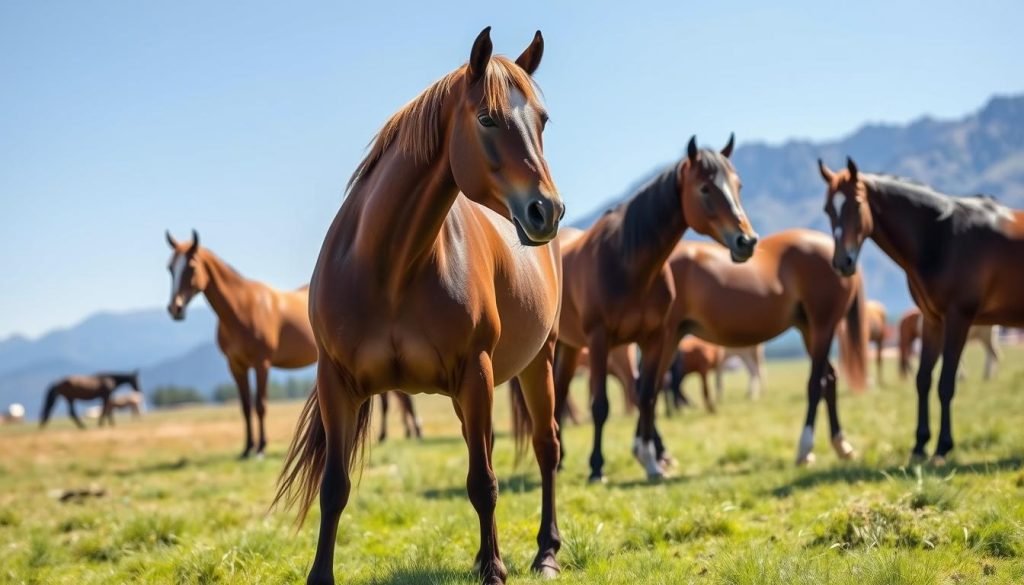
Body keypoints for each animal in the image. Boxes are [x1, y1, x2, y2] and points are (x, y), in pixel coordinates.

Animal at [165, 230, 317, 459]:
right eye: (170, 268)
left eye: (191, 267)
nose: (175, 308)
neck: (242, 308)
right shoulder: (236, 365)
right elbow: (245, 407)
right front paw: (247, 448)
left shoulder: (262, 364)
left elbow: (260, 405)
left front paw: (261, 448)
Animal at [274, 29, 564, 585]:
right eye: (487, 118)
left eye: (542, 122)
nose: (547, 210)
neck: (389, 268)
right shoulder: (335, 381)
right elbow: (334, 487)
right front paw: (320, 575)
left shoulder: (475, 372)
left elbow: (483, 482)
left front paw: (495, 570)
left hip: (537, 362)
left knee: (546, 447)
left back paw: (546, 552)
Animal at [552, 135, 758, 482]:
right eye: (705, 188)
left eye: (738, 185)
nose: (746, 241)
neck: (628, 263)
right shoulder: (600, 340)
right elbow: (601, 405)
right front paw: (597, 467)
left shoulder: (653, 339)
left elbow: (647, 396)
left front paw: (651, 463)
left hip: (570, 346)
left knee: (560, 392)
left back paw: (560, 458)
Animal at [664, 229, 868, 465]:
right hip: (809, 328)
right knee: (831, 378)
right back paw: (841, 445)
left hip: (823, 324)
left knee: (818, 382)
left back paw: (806, 448)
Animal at [820, 158, 1024, 463]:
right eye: (828, 209)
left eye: (856, 203)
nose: (842, 262)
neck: (942, 238)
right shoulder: (932, 320)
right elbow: (923, 380)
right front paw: (919, 445)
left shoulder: (958, 318)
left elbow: (945, 383)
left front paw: (942, 447)